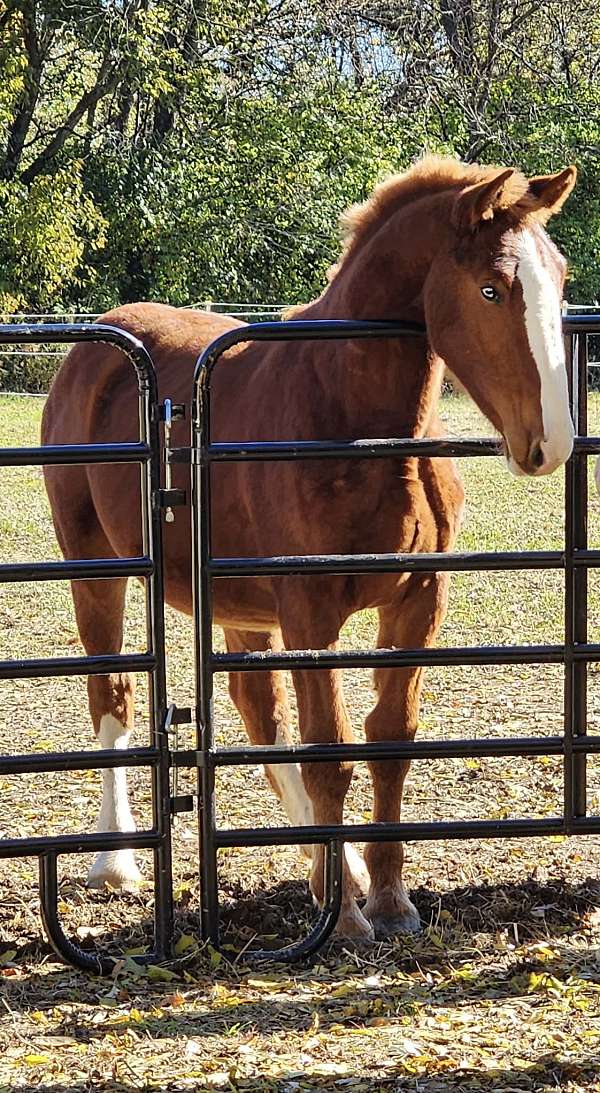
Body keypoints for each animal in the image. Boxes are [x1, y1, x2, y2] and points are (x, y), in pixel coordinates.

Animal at [42, 155, 576, 939]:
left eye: (560, 279)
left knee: (256, 708)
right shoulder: (310, 609)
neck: (354, 421)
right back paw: (118, 863)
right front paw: (347, 919)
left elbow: (388, 739)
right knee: (112, 693)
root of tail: (98, 343)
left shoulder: (418, 601)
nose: (551, 443)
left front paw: (387, 898)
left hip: (237, 602)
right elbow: (330, 750)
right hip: (98, 570)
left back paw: (336, 866)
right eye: (491, 288)